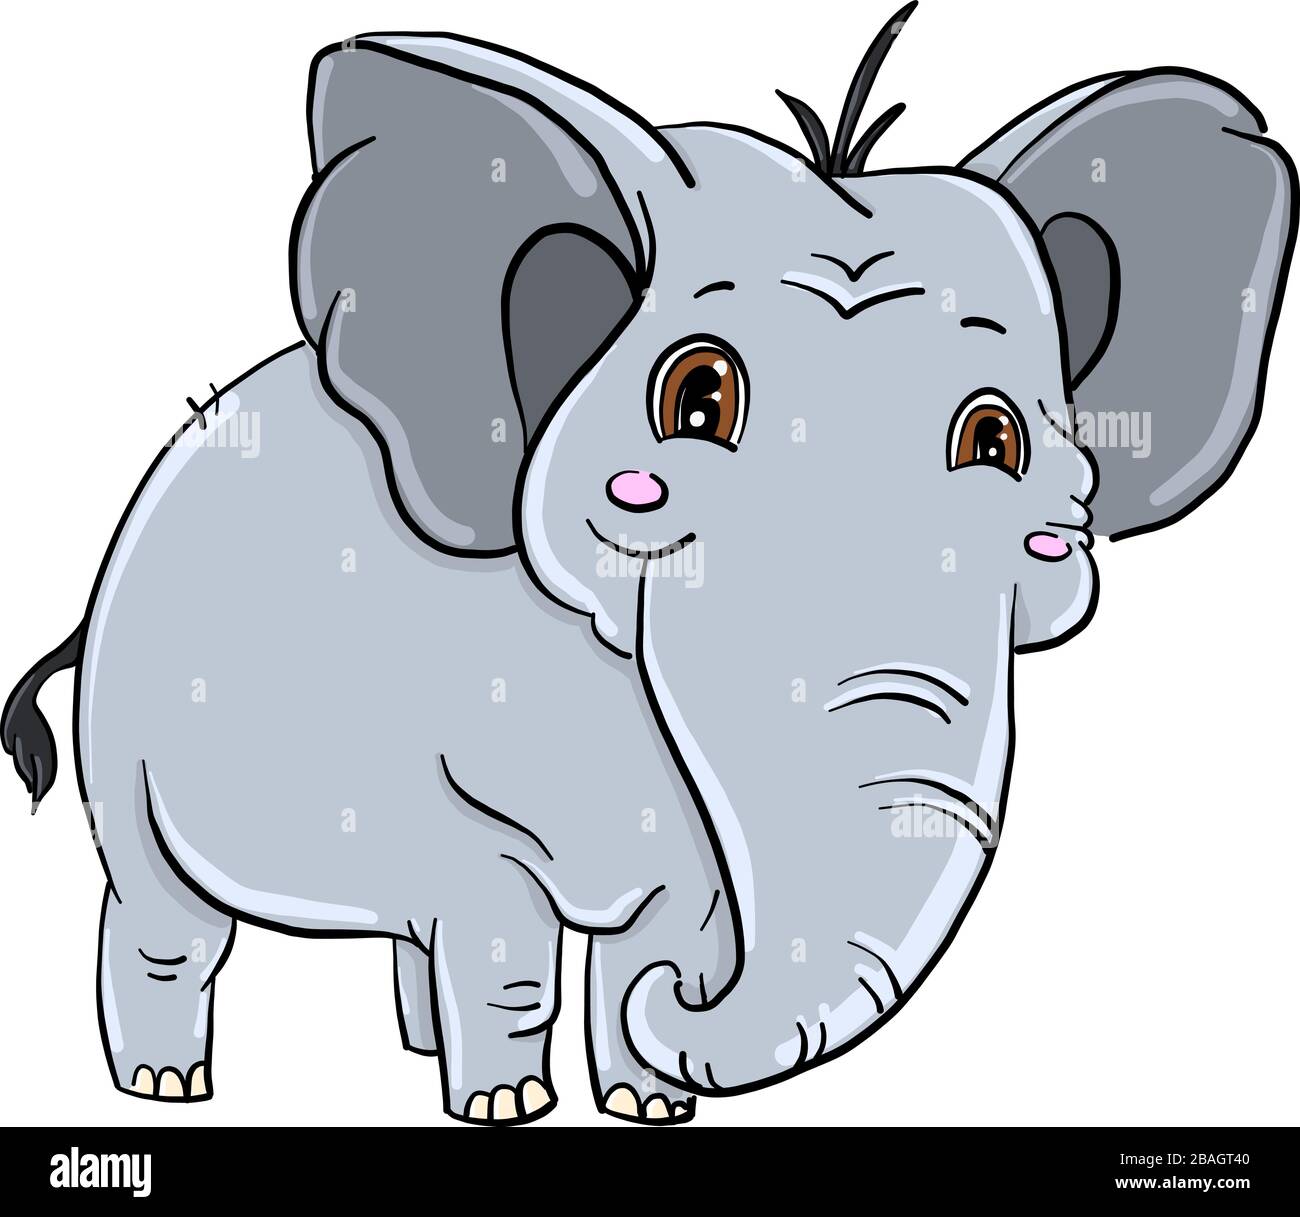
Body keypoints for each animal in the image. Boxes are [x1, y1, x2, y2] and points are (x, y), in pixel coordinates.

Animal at [3, 9, 1295, 1123]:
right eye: (697, 397)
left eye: (997, 439)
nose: (697, 1003)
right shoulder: (451, 775)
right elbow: (502, 924)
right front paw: (511, 1105)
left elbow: (659, 921)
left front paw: (643, 1096)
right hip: (127, 741)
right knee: (166, 918)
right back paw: (167, 1085)